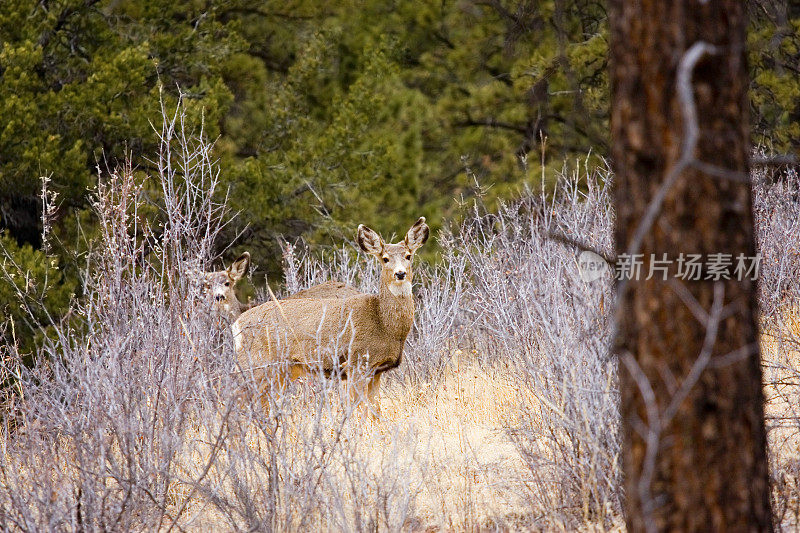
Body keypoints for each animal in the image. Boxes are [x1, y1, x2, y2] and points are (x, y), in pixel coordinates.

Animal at [231, 216, 432, 416]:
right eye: (385, 259)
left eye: (408, 256)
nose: (400, 273)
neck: (383, 324)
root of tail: (237, 324)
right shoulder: (356, 363)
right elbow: (357, 410)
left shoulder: (376, 370)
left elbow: (375, 412)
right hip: (256, 364)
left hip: (280, 371)